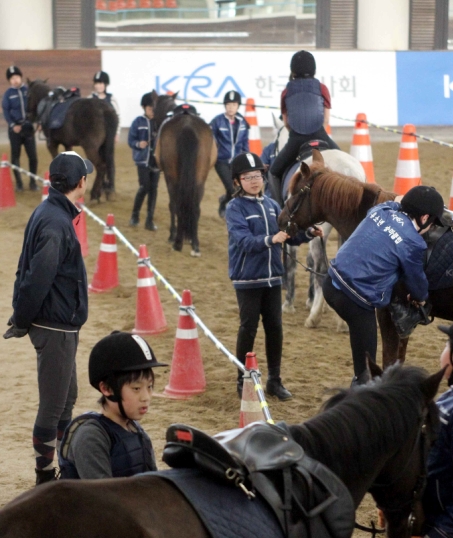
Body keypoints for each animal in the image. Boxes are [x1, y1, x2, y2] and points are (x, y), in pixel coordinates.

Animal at [154, 94, 217, 255]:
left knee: (176, 204)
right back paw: (194, 243)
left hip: (172, 178)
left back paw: (177, 241)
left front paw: (172, 235)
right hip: (200, 178)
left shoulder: (168, 177)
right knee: (195, 206)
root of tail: (187, 126)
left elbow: (172, 205)